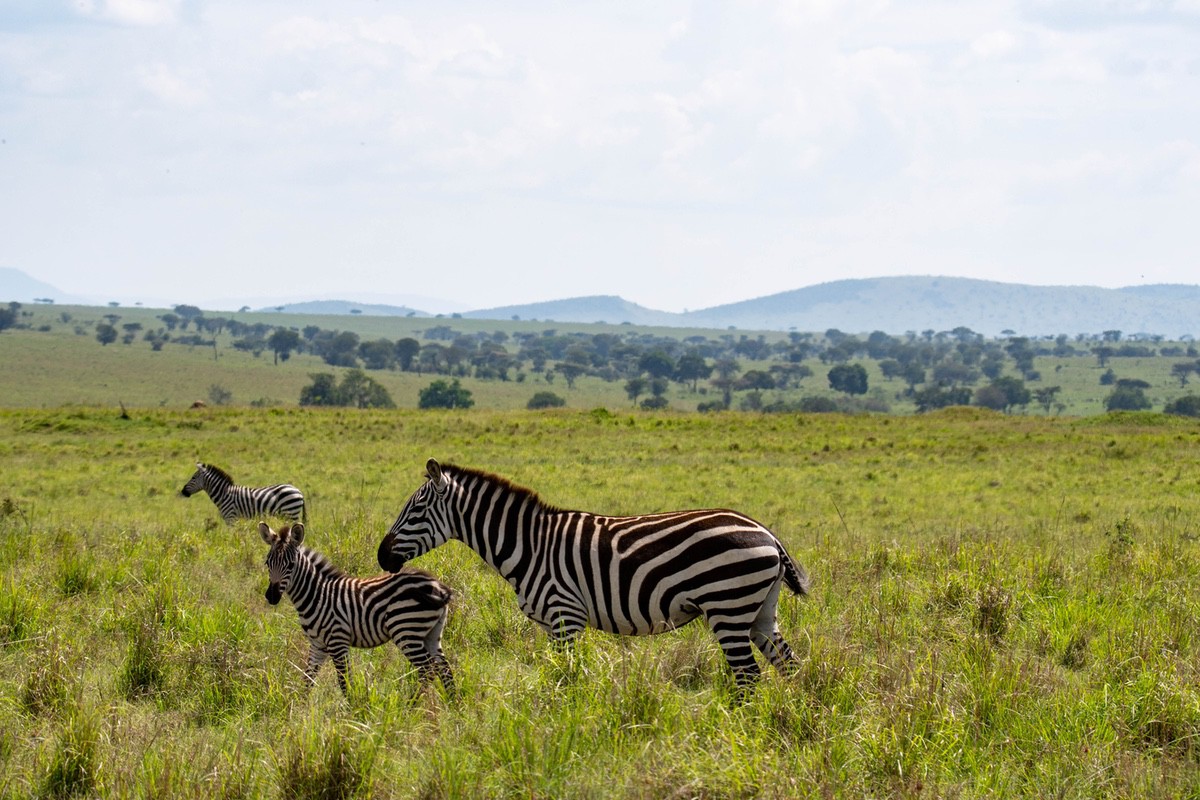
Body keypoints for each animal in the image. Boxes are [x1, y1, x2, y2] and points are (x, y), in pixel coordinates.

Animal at [259, 521, 456, 697]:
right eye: (267, 563)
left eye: (291, 565)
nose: (272, 596)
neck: (317, 594)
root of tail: (438, 586)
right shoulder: (317, 645)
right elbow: (307, 680)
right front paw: (297, 710)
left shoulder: (337, 641)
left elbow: (344, 682)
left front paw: (353, 710)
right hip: (432, 633)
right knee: (444, 668)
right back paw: (452, 705)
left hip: (406, 630)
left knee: (427, 669)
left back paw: (411, 705)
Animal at [377, 458, 810, 693]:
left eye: (415, 511)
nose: (381, 558)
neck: (530, 544)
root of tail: (767, 533)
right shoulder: (552, 625)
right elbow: (557, 674)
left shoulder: (565, 616)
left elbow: (568, 675)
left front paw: (568, 720)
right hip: (759, 612)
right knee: (788, 665)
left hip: (728, 607)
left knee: (749, 676)